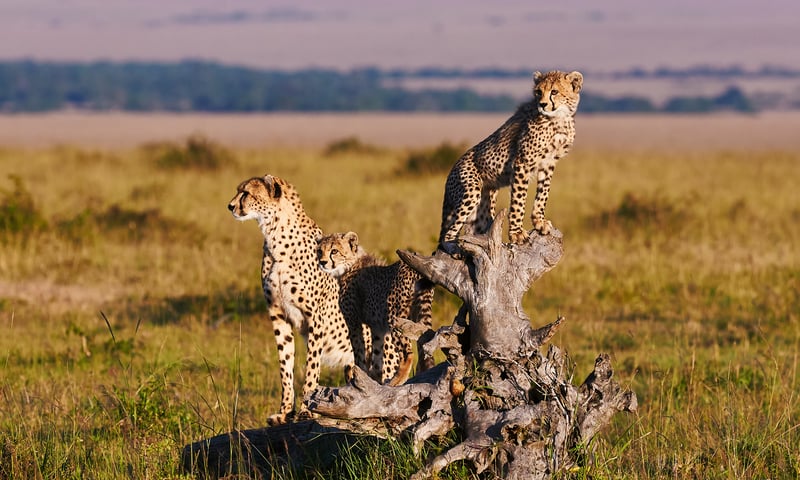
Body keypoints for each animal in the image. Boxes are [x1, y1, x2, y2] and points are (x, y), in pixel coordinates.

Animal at [227, 174, 361, 425]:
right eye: (239, 191)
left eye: (246, 193)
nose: (230, 206)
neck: (275, 235)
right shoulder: (278, 315)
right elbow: (285, 365)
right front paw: (285, 412)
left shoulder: (316, 318)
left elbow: (311, 367)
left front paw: (306, 410)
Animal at [317, 231, 434, 386]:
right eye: (320, 251)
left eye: (334, 251)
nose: (322, 262)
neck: (348, 265)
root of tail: (413, 269)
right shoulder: (377, 326)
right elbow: (378, 355)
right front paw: (375, 378)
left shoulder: (354, 322)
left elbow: (358, 352)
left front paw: (359, 375)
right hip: (417, 317)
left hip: (394, 317)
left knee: (407, 353)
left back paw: (396, 381)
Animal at [438, 70, 583, 252]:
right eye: (538, 92)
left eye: (554, 92)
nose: (542, 104)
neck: (559, 119)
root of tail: (450, 171)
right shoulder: (522, 163)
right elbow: (518, 201)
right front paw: (517, 233)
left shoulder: (549, 163)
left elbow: (543, 194)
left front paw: (539, 221)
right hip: (471, 191)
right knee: (448, 233)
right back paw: (453, 248)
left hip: (483, 206)